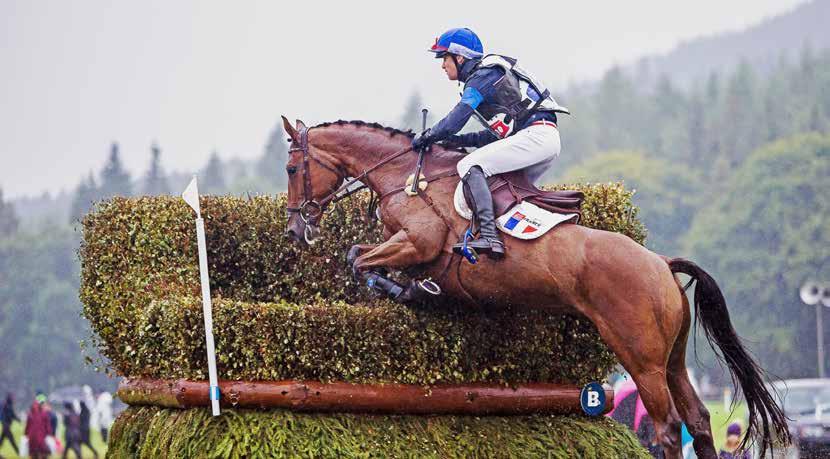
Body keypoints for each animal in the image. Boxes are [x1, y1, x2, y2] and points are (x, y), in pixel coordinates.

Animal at [282, 117, 792, 458]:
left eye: (290, 169)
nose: (294, 230)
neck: (406, 177)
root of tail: (661, 264)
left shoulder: (417, 241)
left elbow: (359, 259)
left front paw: (408, 290)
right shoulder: (406, 245)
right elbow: (358, 253)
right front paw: (412, 289)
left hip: (640, 357)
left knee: (666, 427)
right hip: (672, 359)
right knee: (699, 420)